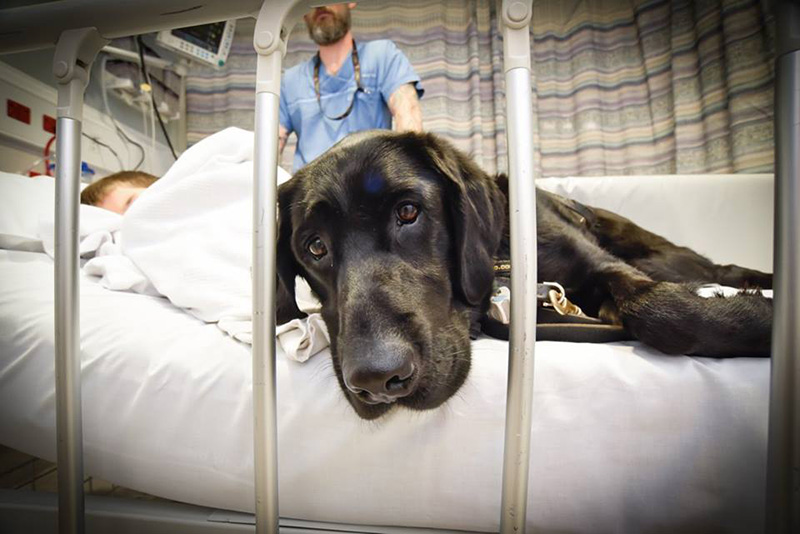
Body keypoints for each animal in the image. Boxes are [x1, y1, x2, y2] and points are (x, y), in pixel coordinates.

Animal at [278, 131, 772, 422]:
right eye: (315, 247)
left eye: (408, 212)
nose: (378, 380)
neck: (503, 256)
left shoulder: (601, 267)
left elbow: (663, 310)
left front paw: (756, 319)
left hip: (658, 255)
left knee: (716, 269)